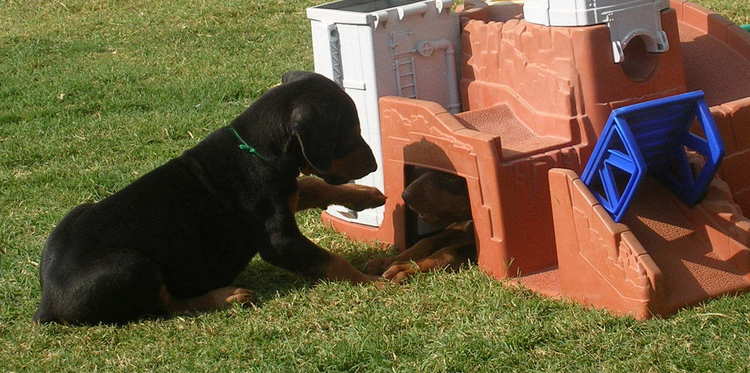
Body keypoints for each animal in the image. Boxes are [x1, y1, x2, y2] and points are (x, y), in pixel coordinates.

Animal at [33, 71, 388, 324]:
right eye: (350, 132)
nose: (373, 165)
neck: (256, 149)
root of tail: (46, 302)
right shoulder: (279, 240)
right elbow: (331, 260)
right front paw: (373, 281)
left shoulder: (285, 191)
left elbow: (312, 186)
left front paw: (366, 195)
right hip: (129, 266)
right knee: (167, 306)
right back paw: (226, 297)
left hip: (78, 212)